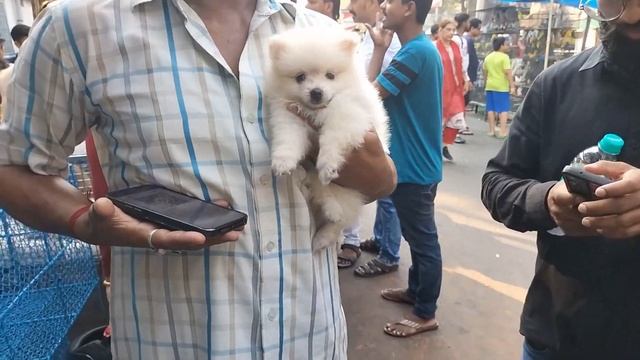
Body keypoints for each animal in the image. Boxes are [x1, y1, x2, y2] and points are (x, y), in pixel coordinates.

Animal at [264, 27, 390, 250]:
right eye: (300, 77)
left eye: (330, 75)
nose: (316, 92)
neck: (317, 110)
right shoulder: (288, 116)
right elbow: (288, 139)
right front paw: (282, 162)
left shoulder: (348, 116)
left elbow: (331, 140)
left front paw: (327, 164)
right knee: (322, 191)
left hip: (350, 187)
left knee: (341, 216)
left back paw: (327, 226)